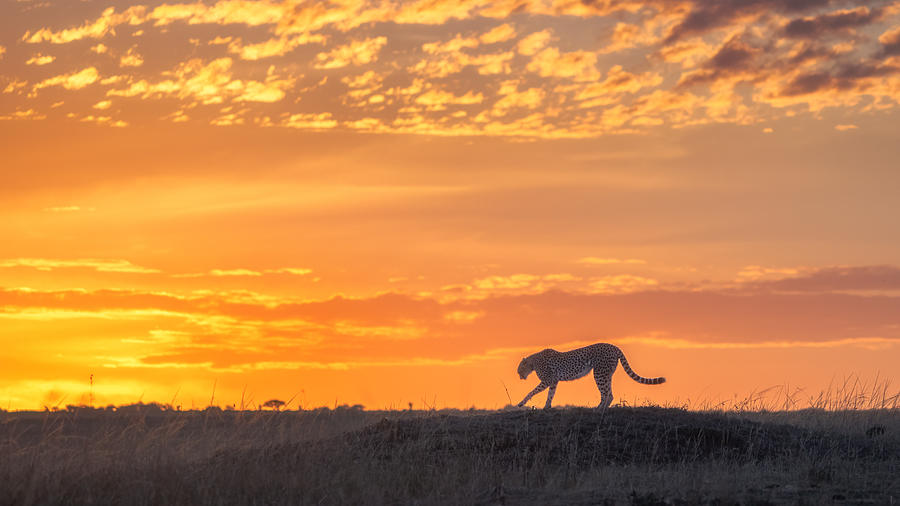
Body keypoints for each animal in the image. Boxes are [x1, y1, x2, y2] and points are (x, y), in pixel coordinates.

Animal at [516, 342, 664, 410]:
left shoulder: (548, 380)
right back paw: (603, 408)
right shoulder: (553, 381)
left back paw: (599, 408)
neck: (533, 361)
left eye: (519, 369)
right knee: (609, 393)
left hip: (599, 373)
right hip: (607, 374)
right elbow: (550, 394)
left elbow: (532, 391)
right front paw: (547, 407)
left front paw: (521, 403)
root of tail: (613, 346)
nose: (519, 376)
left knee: (606, 393)